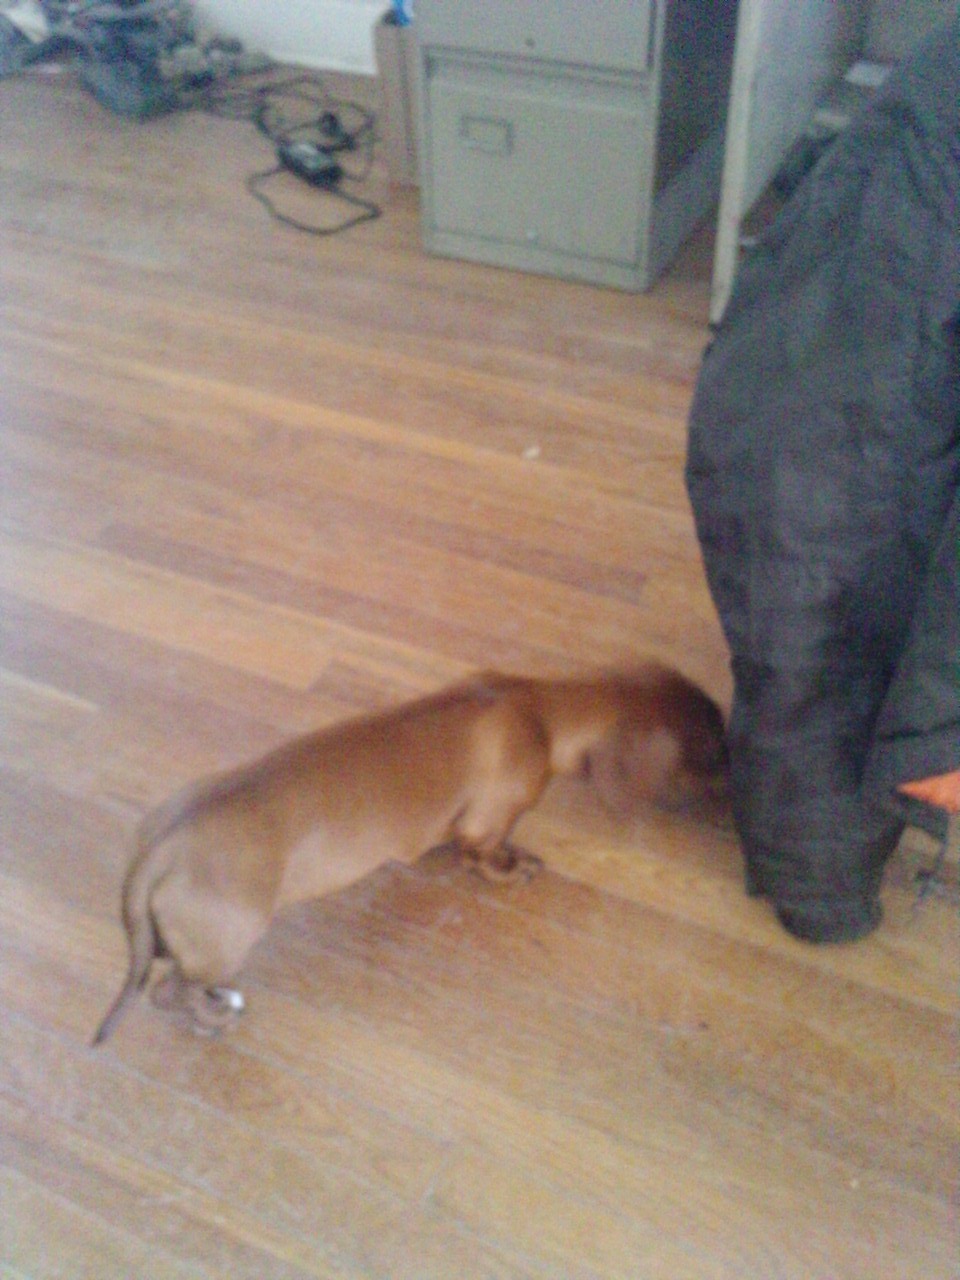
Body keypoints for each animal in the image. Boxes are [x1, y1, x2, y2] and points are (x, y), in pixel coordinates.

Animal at [93, 664, 727, 1043]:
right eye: (710, 749)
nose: (733, 787)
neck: (540, 708)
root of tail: (157, 849)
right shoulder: (487, 824)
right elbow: (486, 856)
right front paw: (514, 867)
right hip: (230, 940)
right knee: (167, 991)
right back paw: (213, 1014)